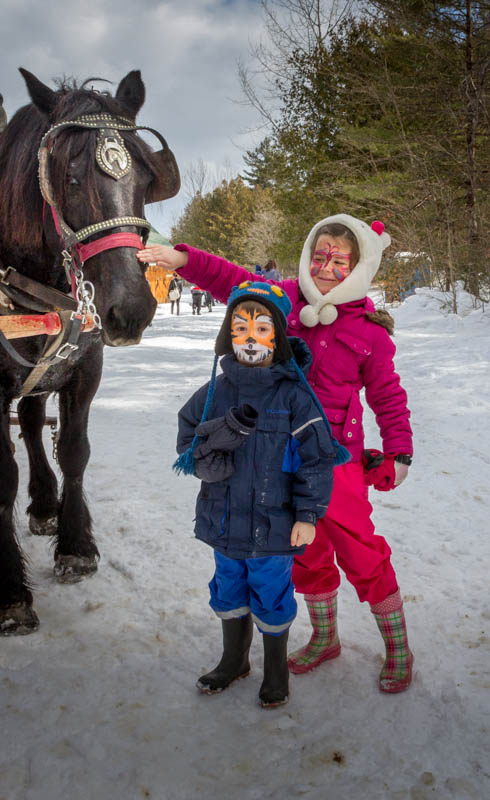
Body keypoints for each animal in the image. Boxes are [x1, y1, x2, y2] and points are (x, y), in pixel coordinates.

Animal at [0, 69, 180, 634]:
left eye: (144, 179)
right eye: (70, 178)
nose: (130, 307)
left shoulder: (84, 366)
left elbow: (75, 452)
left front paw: (75, 543)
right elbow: (1, 472)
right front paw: (10, 592)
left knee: (32, 421)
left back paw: (43, 503)